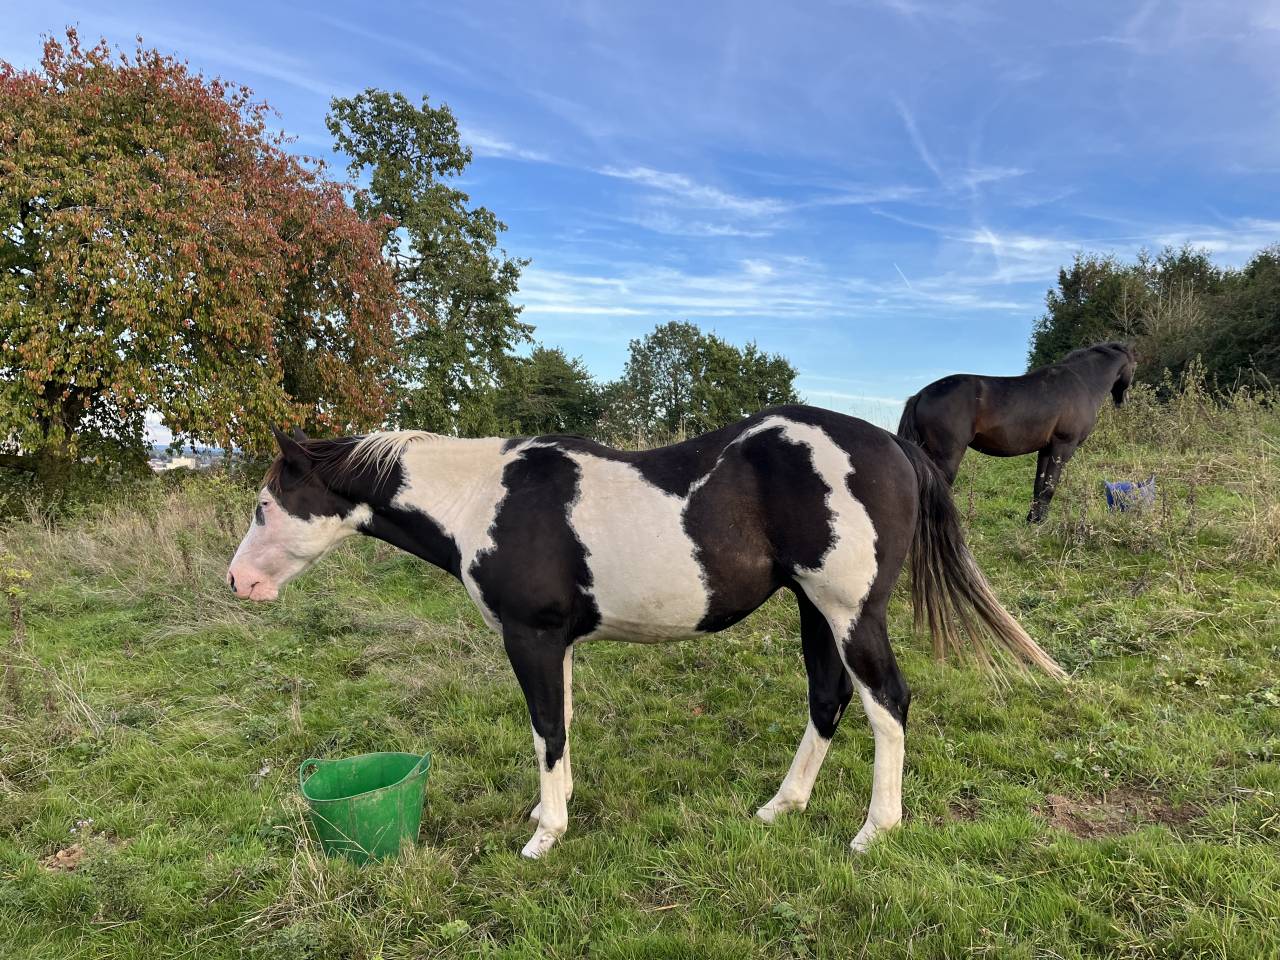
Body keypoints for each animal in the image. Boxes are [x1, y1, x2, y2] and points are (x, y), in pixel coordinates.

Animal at [227, 405, 1064, 859]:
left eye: (266, 506)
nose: (239, 584)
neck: (482, 500)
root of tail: (895, 447)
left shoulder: (529, 638)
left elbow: (546, 728)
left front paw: (545, 835)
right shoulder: (556, 642)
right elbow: (559, 727)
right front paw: (551, 809)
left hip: (850, 612)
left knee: (888, 704)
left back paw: (874, 830)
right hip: (813, 610)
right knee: (826, 703)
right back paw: (781, 808)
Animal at [897, 342, 1137, 523]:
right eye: (1134, 368)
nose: (1123, 401)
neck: (1082, 382)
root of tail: (920, 395)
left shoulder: (1046, 449)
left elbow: (1040, 486)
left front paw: (1034, 520)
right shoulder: (1063, 446)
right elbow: (1050, 486)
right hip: (947, 456)